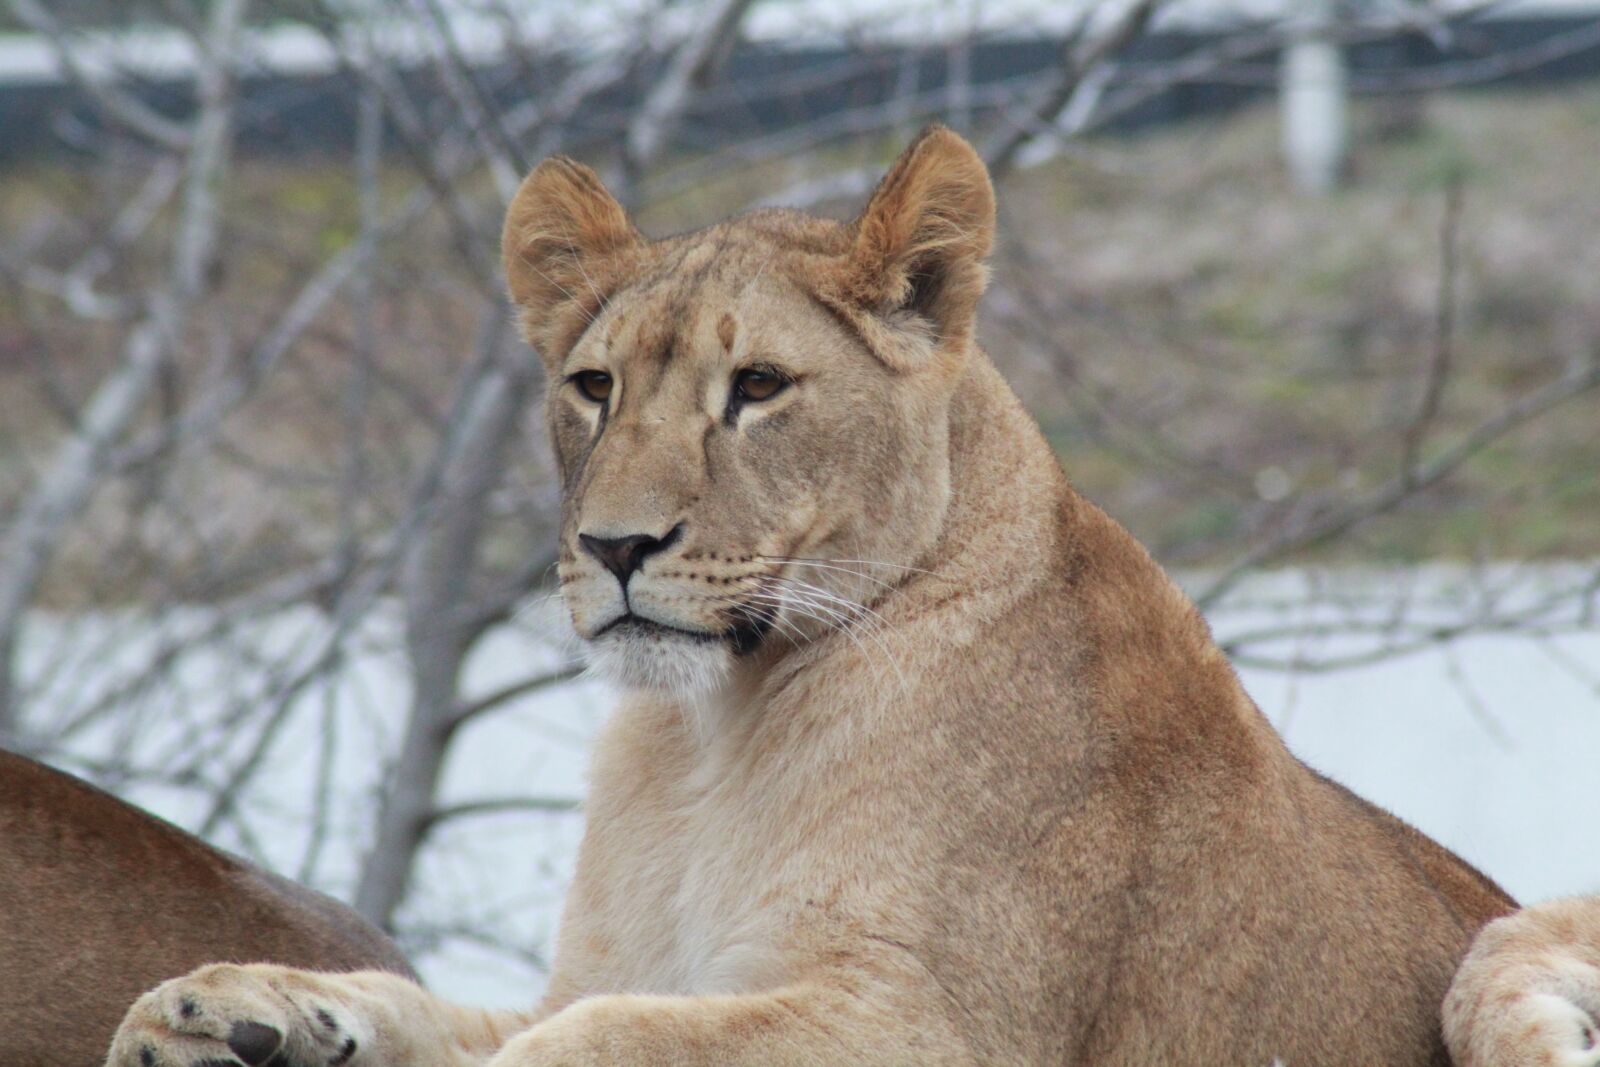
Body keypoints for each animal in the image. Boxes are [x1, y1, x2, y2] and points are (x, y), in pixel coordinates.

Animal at [105, 127, 1599, 1067]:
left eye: (758, 386)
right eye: (594, 385)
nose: (616, 544)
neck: (710, 737)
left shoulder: (938, 1020)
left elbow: (612, 1036)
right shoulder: (601, 962)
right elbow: (449, 1004)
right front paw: (229, 1008)